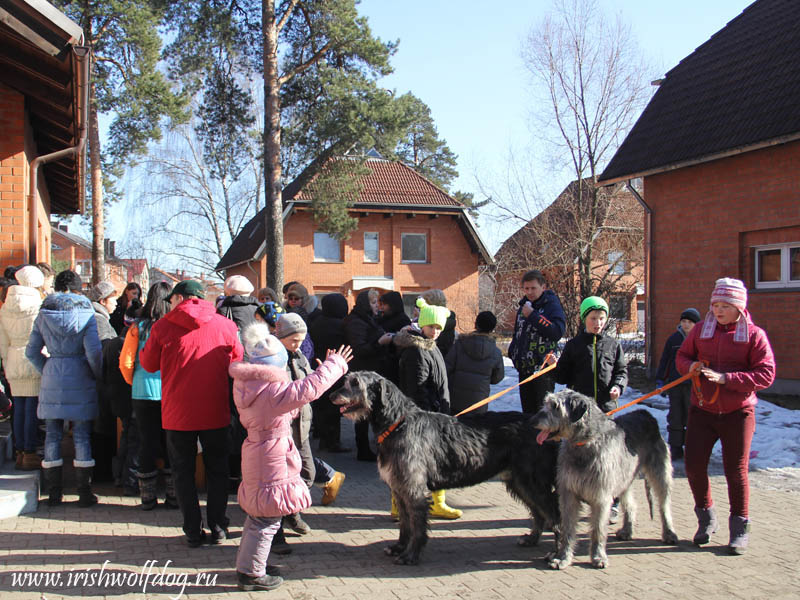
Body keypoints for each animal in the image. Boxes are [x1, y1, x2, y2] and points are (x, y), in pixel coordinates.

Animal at [328, 372, 560, 564]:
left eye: (355, 383)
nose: (331, 395)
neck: (397, 424)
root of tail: (544, 429)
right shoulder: (399, 489)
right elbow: (404, 523)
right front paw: (399, 547)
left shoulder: (413, 489)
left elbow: (417, 525)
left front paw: (410, 555)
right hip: (519, 481)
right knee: (539, 513)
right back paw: (532, 539)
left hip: (532, 481)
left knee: (554, 513)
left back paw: (557, 554)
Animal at [532, 386, 676, 568]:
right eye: (546, 403)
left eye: (555, 406)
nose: (532, 420)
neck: (583, 444)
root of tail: (645, 413)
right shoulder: (568, 493)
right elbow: (568, 528)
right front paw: (563, 557)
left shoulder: (600, 495)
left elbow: (598, 529)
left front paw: (598, 556)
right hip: (624, 477)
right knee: (630, 503)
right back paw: (627, 530)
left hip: (659, 471)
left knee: (664, 504)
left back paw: (669, 533)